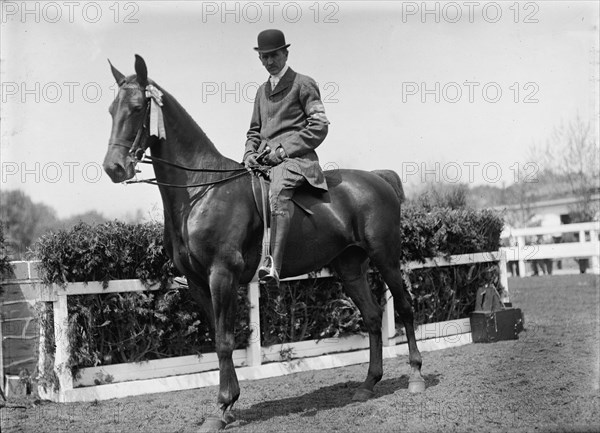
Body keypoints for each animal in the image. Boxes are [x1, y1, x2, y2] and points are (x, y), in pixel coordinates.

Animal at [103, 54, 424, 428]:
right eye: (111, 109)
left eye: (138, 107)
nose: (114, 168)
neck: (200, 190)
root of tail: (378, 178)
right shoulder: (199, 283)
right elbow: (219, 338)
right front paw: (229, 406)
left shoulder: (222, 276)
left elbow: (225, 341)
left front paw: (221, 407)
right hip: (350, 267)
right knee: (373, 316)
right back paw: (368, 384)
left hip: (386, 257)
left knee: (404, 307)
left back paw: (416, 376)